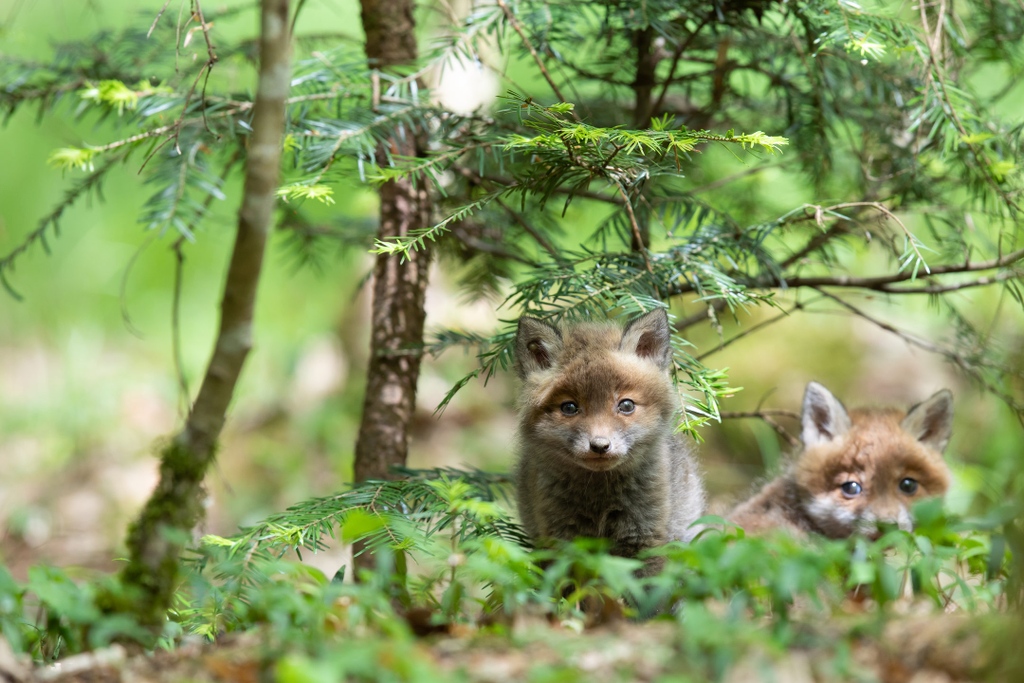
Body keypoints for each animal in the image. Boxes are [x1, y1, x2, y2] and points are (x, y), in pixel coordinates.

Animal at [513, 308, 706, 569]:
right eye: (569, 407)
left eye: (626, 405)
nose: (600, 446)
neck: (600, 499)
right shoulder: (562, 541)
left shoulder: (645, 538)